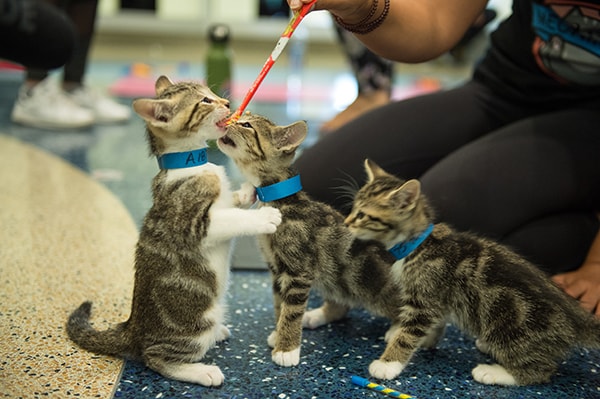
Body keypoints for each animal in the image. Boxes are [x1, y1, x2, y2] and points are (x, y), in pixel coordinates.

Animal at [67, 76, 282, 388]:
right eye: (204, 101)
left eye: (211, 92)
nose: (227, 103)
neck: (192, 163)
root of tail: (132, 329)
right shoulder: (191, 223)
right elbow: (231, 219)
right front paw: (264, 216)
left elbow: (232, 202)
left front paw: (247, 191)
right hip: (194, 324)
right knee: (154, 357)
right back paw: (200, 370)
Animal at [216, 114, 398, 370]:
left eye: (247, 125)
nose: (228, 118)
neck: (280, 202)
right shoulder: (276, 269)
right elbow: (279, 303)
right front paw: (279, 333)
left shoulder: (298, 270)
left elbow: (291, 309)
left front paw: (286, 348)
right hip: (337, 279)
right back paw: (316, 316)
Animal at [344, 160, 600, 388]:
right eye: (353, 209)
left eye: (362, 215)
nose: (346, 223)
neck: (417, 244)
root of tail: (577, 319)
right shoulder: (437, 300)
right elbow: (436, 323)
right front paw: (426, 339)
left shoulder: (425, 299)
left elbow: (409, 334)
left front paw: (388, 363)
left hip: (512, 325)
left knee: (541, 371)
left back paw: (493, 372)